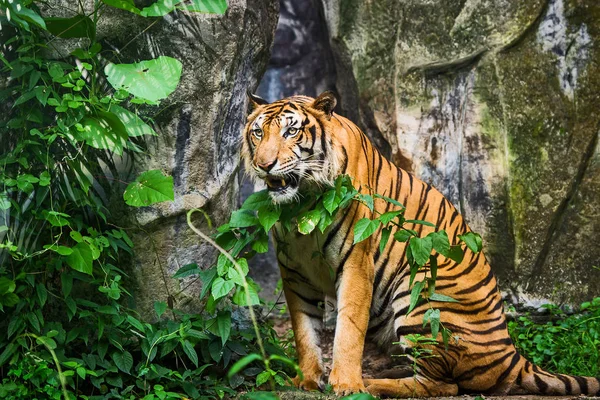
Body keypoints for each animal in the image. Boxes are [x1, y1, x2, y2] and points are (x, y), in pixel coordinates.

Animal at [240, 90, 600, 396]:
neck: (303, 205)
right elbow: (304, 330)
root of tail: (511, 353)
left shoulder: (356, 263)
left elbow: (348, 328)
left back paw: (373, 383)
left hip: (420, 292)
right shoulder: (295, 273)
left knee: (442, 385)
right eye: (258, 133)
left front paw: (346, 385)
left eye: (291, 132)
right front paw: (307, 379)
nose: (264, 165)